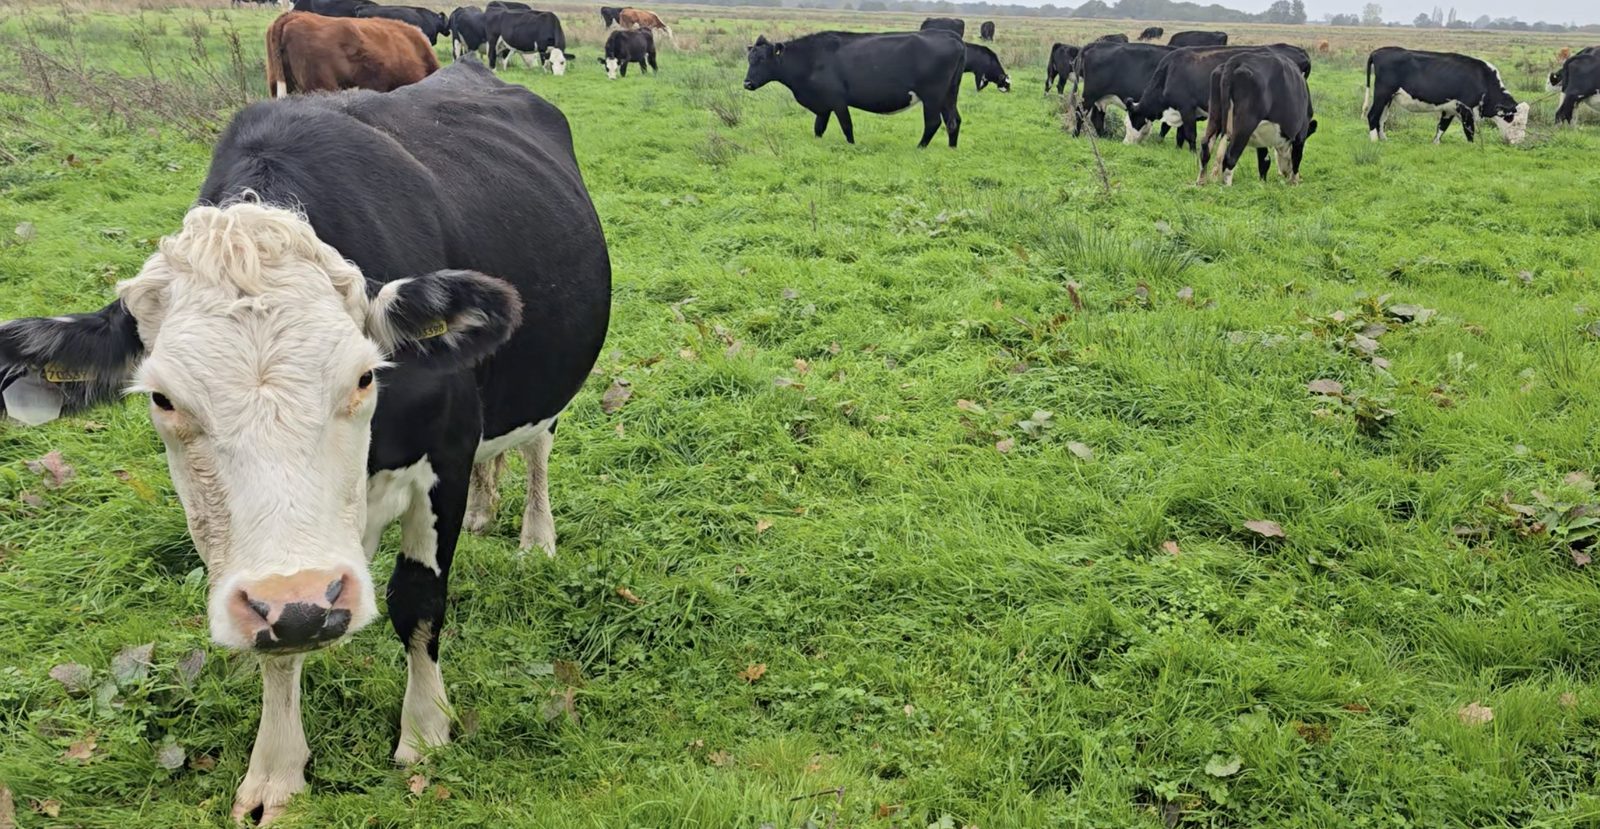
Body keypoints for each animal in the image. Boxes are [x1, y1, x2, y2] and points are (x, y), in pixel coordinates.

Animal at [0, 59, 610, 824]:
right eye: (164, 399)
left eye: (364, 375)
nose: (305, 599)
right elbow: (278, 648)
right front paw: (277, 768)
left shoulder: (444, 451)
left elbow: (418, 600)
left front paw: (424, 729)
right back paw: (484, 508)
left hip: (547, 385)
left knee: (535, 450)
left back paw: (535, 536)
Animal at [743, 31, 965, 148]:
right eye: (749, 59)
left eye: (762, 59)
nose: (747, 83)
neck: (810, 60)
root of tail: (949, 35)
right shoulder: (823, 106)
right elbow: (818, 128)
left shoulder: (838, 101)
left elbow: (847, 126)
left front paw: (852, 146)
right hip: (949, 95)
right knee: (953, 121)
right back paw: (952, 148)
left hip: (932, 96)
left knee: (934, 122)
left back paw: (919, 148)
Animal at [1130, 44, 1311, 151]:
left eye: (1134, 119)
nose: (1127, 143)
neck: (1169, 71)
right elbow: (1178, 132)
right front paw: (1178, 148)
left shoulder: (1186, 107)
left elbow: (1189, 133)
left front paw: (1192, 152)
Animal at [1197, 50, 1316, 185]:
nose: (1285, 173)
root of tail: (1235, 61)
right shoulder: (1301, 132)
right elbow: (1297, 157)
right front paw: (1294, 182)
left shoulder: (1262, 139)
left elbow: (1264, 161)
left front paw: (1262, 183)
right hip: (1245, 123)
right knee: (1230, 155)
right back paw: (1226, 185)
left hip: (1215, 113)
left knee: (1206, 147)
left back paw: (1201, 182)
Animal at [1363, 47, 1529, 144]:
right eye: (1514, 121)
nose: (1519, 142)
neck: (1483, 80)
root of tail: (1379, 51)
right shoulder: (1466, 109)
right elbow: (1469, 131)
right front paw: (1473, 147)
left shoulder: (1450, 109)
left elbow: (1441, 128)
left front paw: (1435, 144)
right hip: (1382, 93)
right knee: (1373, 115)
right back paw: (1374, 141)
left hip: (1388, 98)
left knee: (1382, 118)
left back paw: (1384, 139)